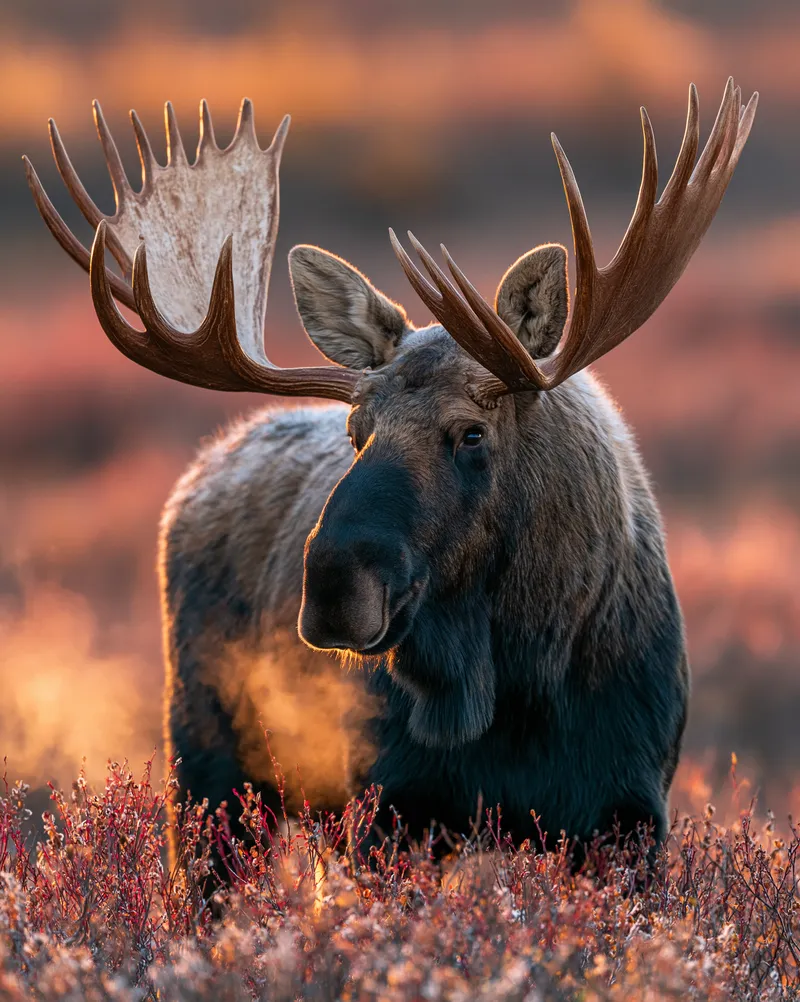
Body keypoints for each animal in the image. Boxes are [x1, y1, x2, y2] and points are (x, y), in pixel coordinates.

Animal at [26, 79, 756, 868]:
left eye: (471, 432)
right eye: (356, 431)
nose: (334, 587)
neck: (521, 688)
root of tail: (198, 474)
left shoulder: (630, 810)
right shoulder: (389, 804)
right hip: (206, 773)